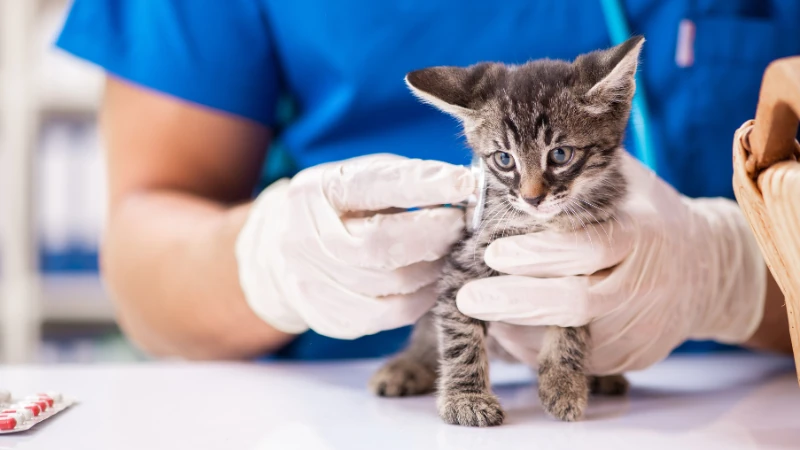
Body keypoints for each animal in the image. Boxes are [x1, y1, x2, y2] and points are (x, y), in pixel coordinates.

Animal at [370, 37, 644, 428]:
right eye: (504, 159)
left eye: (560, 154)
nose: (532, 197)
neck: (539, 223)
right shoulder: (462, 265)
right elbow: (458, 336)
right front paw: (466, 398)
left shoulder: (583, 271)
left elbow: (571, 323)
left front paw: (563, 383)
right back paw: (407, 366)